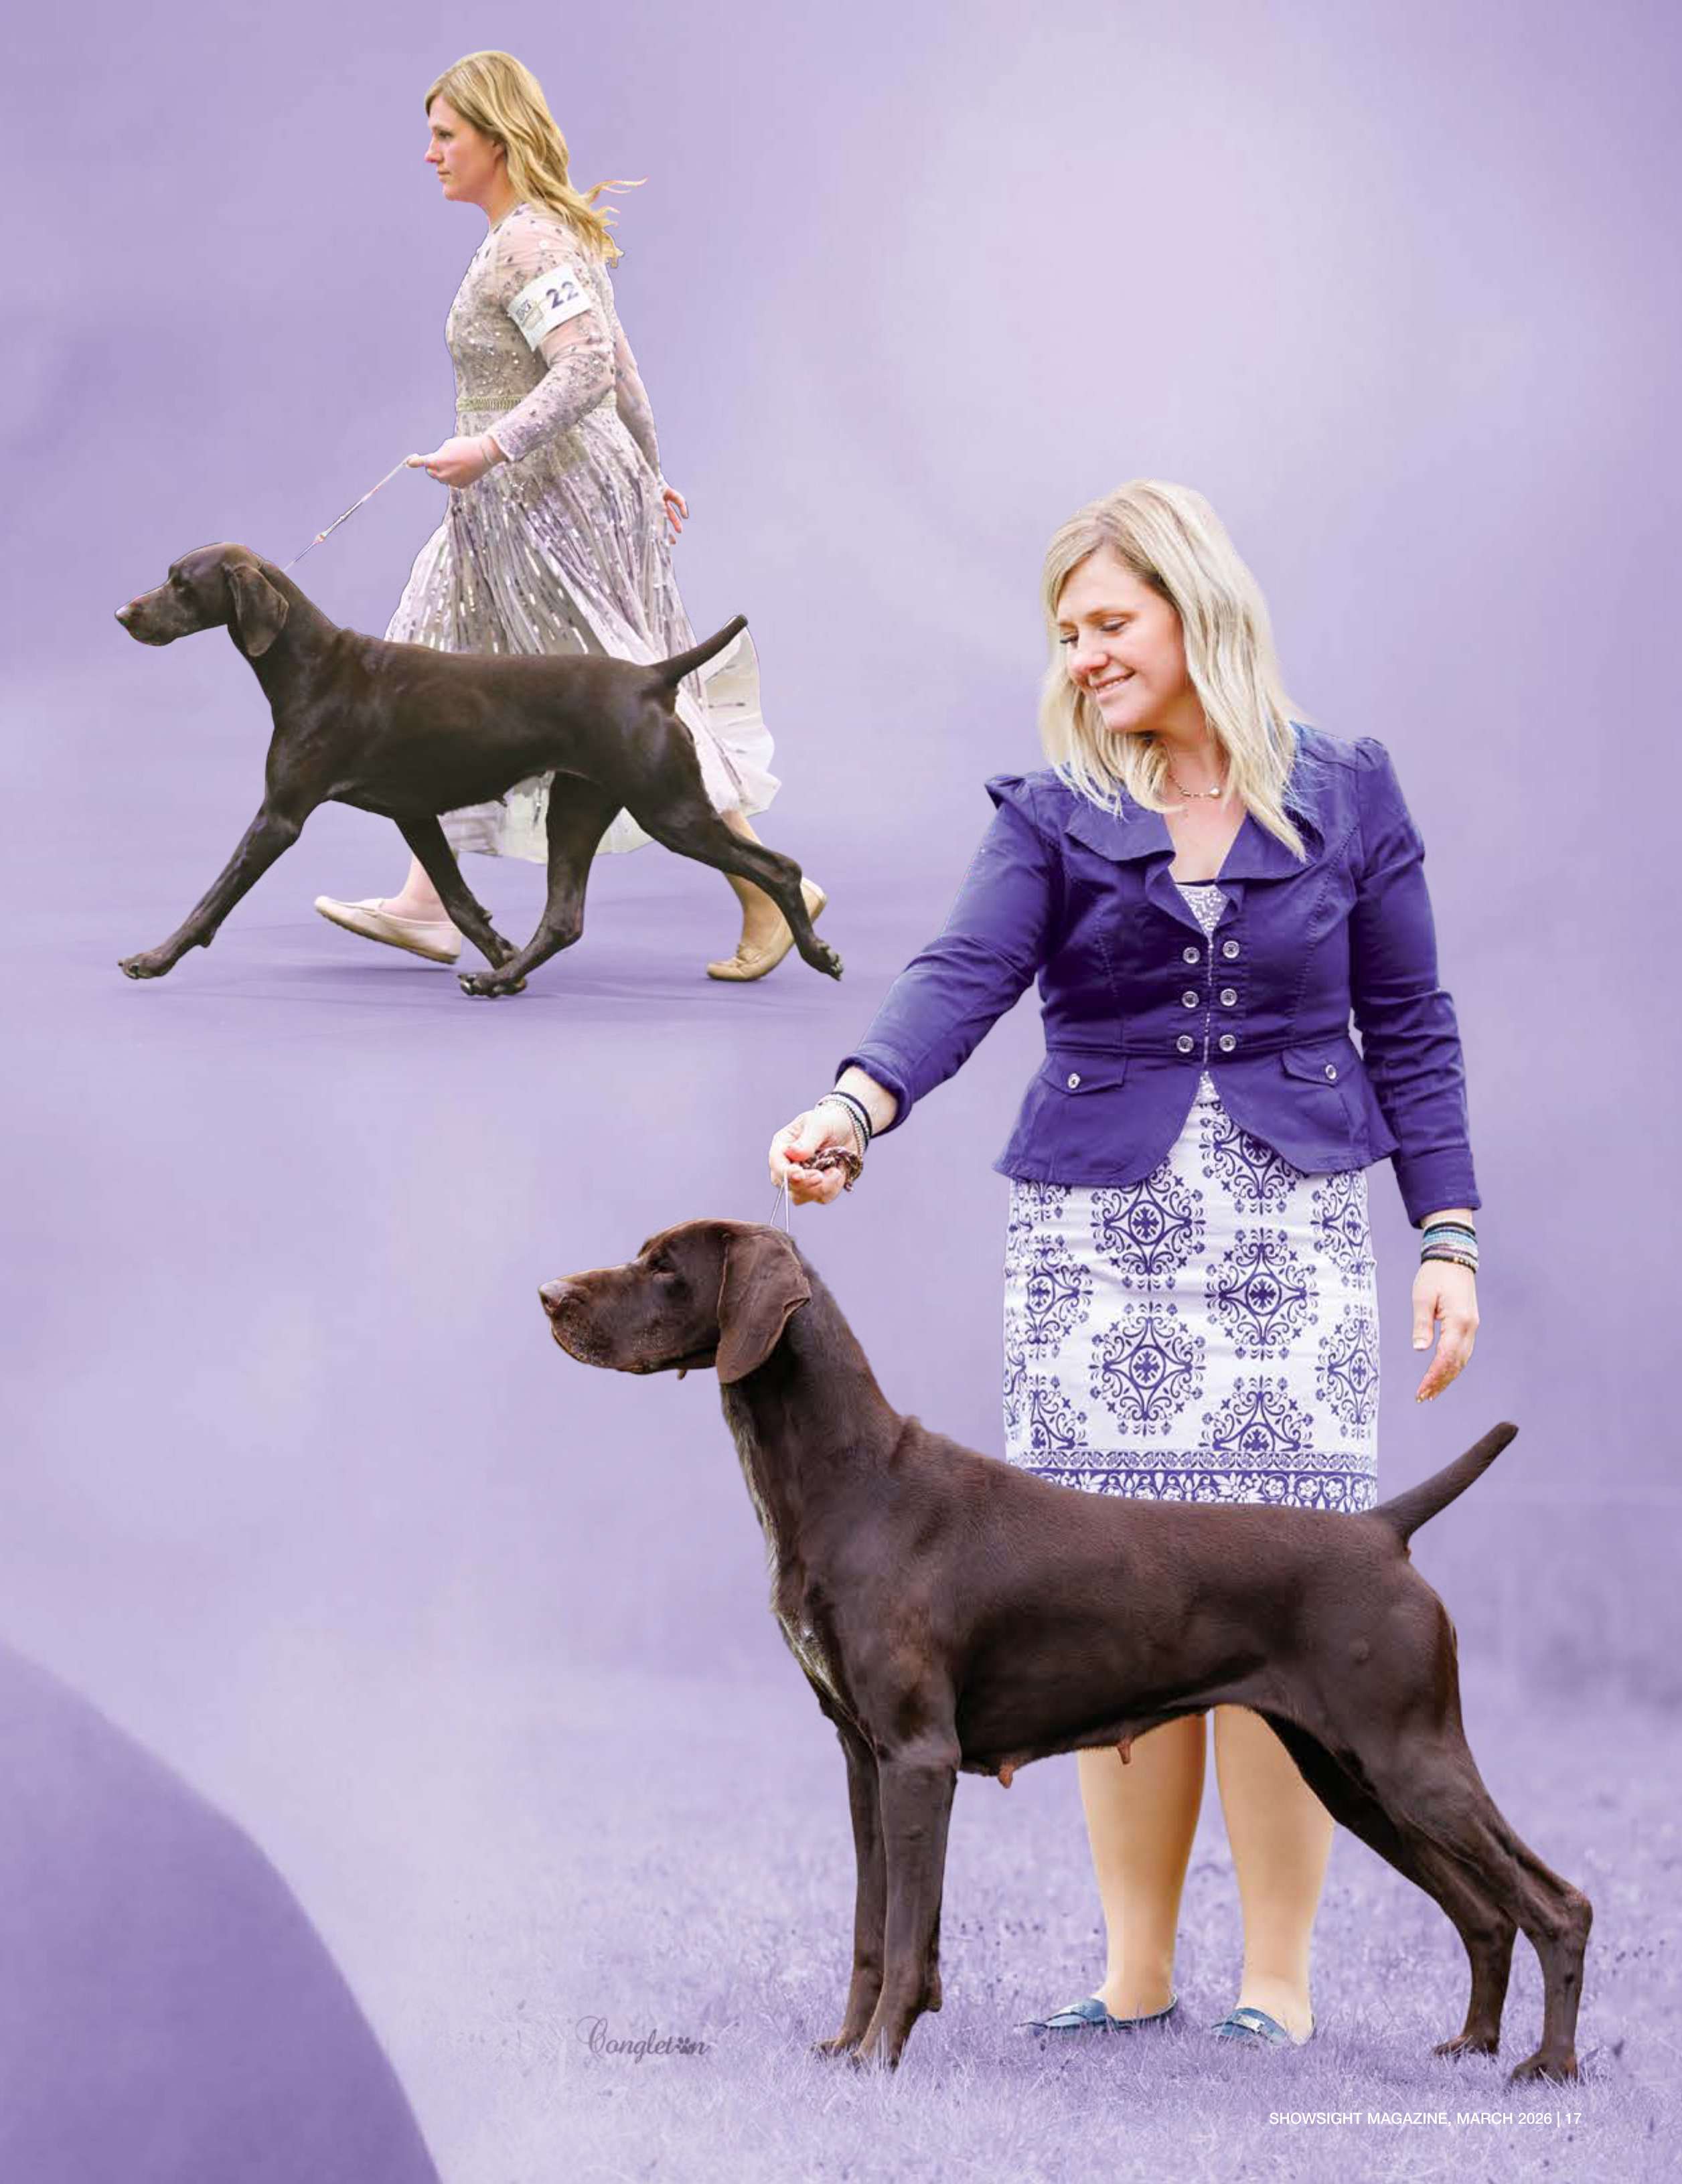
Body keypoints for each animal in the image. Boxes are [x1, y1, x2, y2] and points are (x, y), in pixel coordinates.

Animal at [114, 544, 840, 995]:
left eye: (182, 583)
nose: (123, 613)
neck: (314, 664)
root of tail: (650, 677)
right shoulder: (414, 814)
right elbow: (461, 904)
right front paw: (503, 963)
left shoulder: (280, 816)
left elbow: (213, 897)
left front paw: (153, 958)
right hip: (581, 809)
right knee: (564, 917)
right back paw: (497, 981)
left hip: (670, 810)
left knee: (780, 868)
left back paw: (816, 952)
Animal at [539, 1218, 1590, 2079]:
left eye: (662, 1265)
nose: (550, 1295)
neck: (849, 1481)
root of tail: (1382, 1529)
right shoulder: (861, 1756)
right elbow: (872, 1929)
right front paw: (844, 2046)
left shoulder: (918, 1759)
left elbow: (907, 1932)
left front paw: (880, 2052)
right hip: (1351, 1775)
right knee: (1486, 1913)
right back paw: (1473, 2045)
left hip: (1410, 1757)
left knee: (1557, 1904)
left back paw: (1548, 2065)